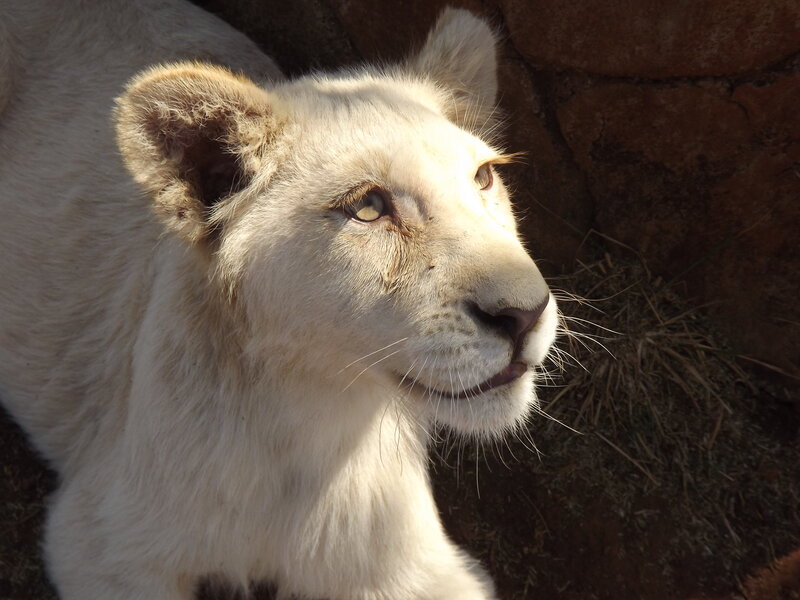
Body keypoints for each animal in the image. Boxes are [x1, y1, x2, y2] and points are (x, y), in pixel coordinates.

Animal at [0, 1, 559, 598]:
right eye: (368, 207)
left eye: (484, 177)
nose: (526, 312)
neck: (310, 429)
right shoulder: (102, 539)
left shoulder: (410, 565)